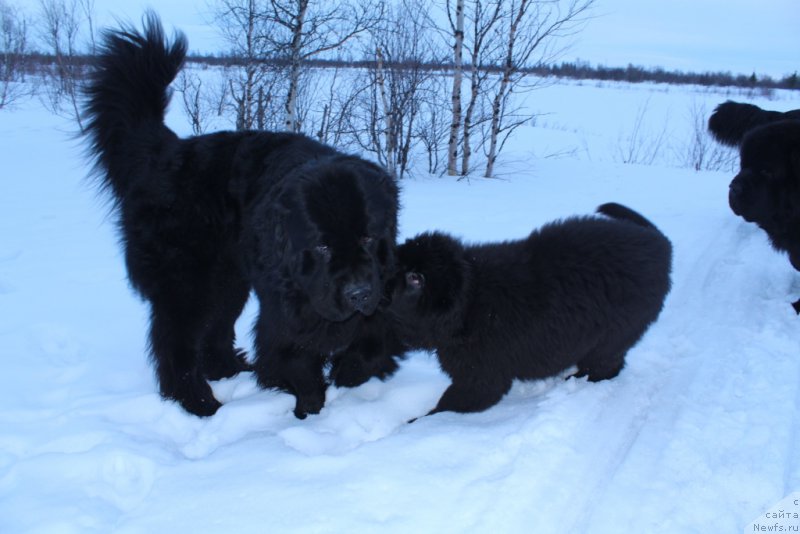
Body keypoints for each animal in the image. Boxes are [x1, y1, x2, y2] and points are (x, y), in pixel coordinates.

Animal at [84, 12, 404, 418]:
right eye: (322, 247)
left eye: (368, 236)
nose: (358, 293)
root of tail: (166, 152)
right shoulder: (282, 316)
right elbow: (294, 364)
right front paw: (309, 408)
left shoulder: (381, 294)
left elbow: (372, 346)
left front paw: (347, 370)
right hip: (187, 281)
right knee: (176, 343)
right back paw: (199, 401)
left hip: (227, 278)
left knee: (215, 329)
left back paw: (230, 368)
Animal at [384, 203, 672, 416]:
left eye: (415, 278)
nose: (383, 272)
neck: (470, 302)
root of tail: (660, 243)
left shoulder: (480, 376)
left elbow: (451, 404)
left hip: (612, 336)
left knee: (606, 365)